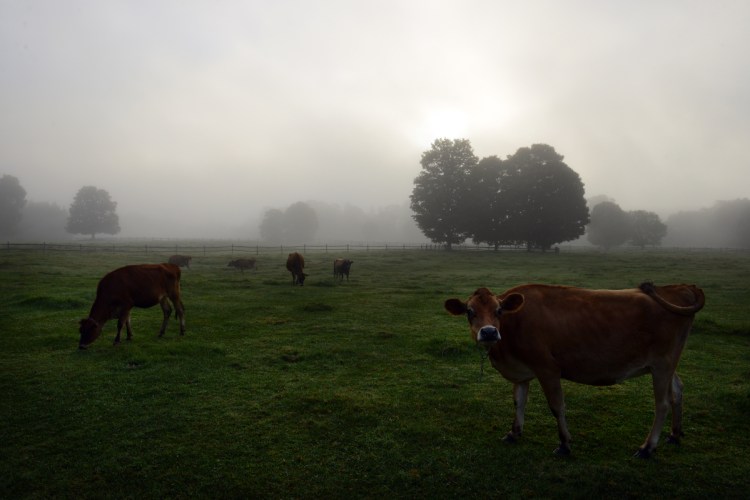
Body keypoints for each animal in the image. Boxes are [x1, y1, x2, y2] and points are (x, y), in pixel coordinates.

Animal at [444, 282, 708, 458]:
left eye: (499, 310)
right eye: (470, 312)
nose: (489, 332)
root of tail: (678, 287)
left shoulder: (547, 368)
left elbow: (556, 406)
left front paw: (564, 444)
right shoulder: (522, 371)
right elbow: (519, 401)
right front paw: (514, 433)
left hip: (662, 363)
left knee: (662, 403)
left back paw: (647, 448)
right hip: (666, 363)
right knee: (678, 390)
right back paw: (675, 434)